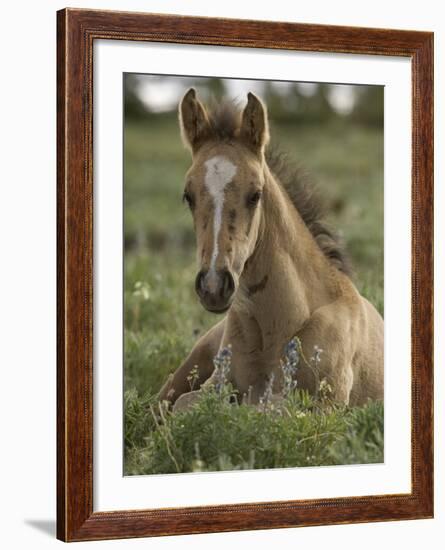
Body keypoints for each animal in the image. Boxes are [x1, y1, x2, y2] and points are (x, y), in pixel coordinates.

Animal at [158, 89, 384, 410]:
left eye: (256, 194)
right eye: (188, 196)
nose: (214, 286)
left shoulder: (326, 405)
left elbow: (266, 408)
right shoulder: (215, 384)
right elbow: (185, 405)